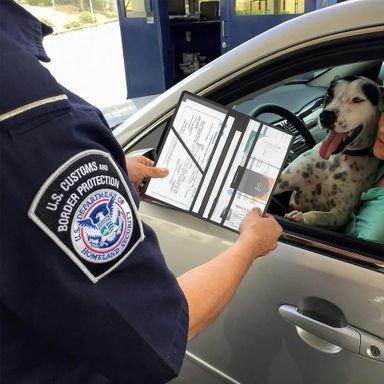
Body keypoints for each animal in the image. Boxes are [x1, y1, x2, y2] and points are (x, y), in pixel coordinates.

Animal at [274, 75, 382, 228]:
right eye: (328, 95)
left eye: (357, 100)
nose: (325, 116)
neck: (337, 159)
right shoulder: (283, 180)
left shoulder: (340, 213)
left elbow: (318, 215)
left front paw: (301, 217)